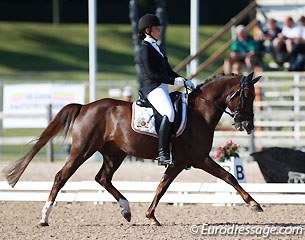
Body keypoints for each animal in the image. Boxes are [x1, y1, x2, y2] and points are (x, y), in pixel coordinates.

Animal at [2, 72, 262, 226]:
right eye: (247, 95)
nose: (248, 125)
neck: (200, 112)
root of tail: (85, 106)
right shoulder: (200, 159)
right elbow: (229, 176)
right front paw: (254, 204)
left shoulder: (178, 162)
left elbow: (161, 187)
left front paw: (151, 216)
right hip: (83, 150)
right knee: (61, 176)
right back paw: (44, 217)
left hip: (114, 154)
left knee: (103, 178)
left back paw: (126, 210)